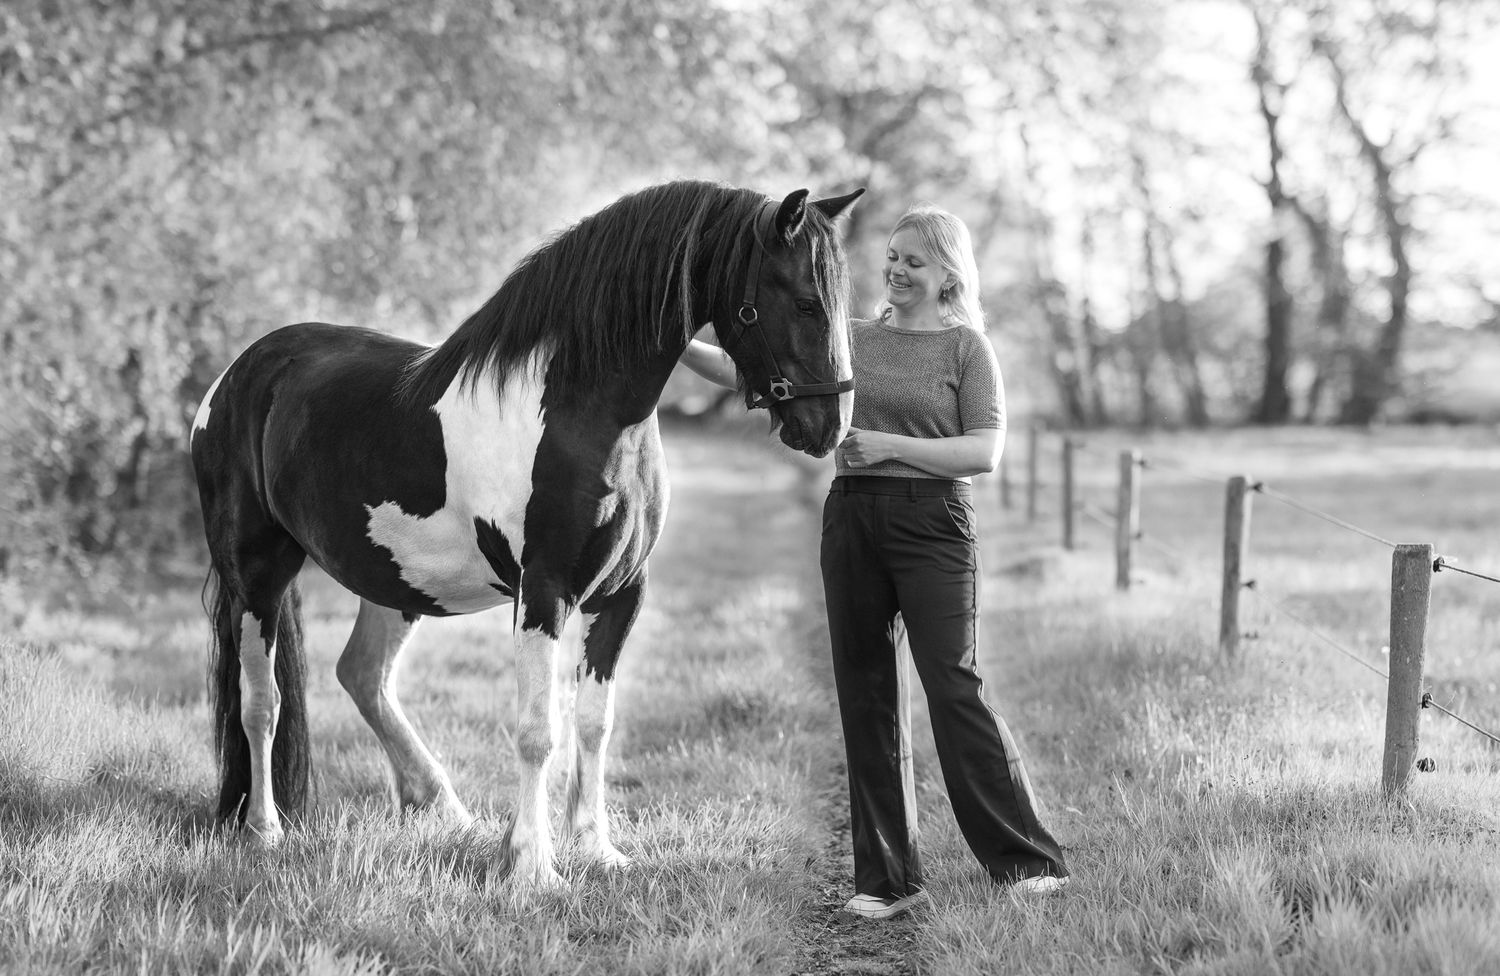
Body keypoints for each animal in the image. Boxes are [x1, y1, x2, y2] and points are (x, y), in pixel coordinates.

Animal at [189, 180, 864, 888]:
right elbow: (539, 731)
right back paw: (264, 830)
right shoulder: (543, 592)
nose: (830, 427)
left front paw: (595, 848)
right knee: (261, 702)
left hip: (397, 583)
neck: (583, 411)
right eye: (806, 301)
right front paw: (534, 865)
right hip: (257, 576)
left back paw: (446, 810)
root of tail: (237, 376)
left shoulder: (622, 595)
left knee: (362, 676)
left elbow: (593, 723)